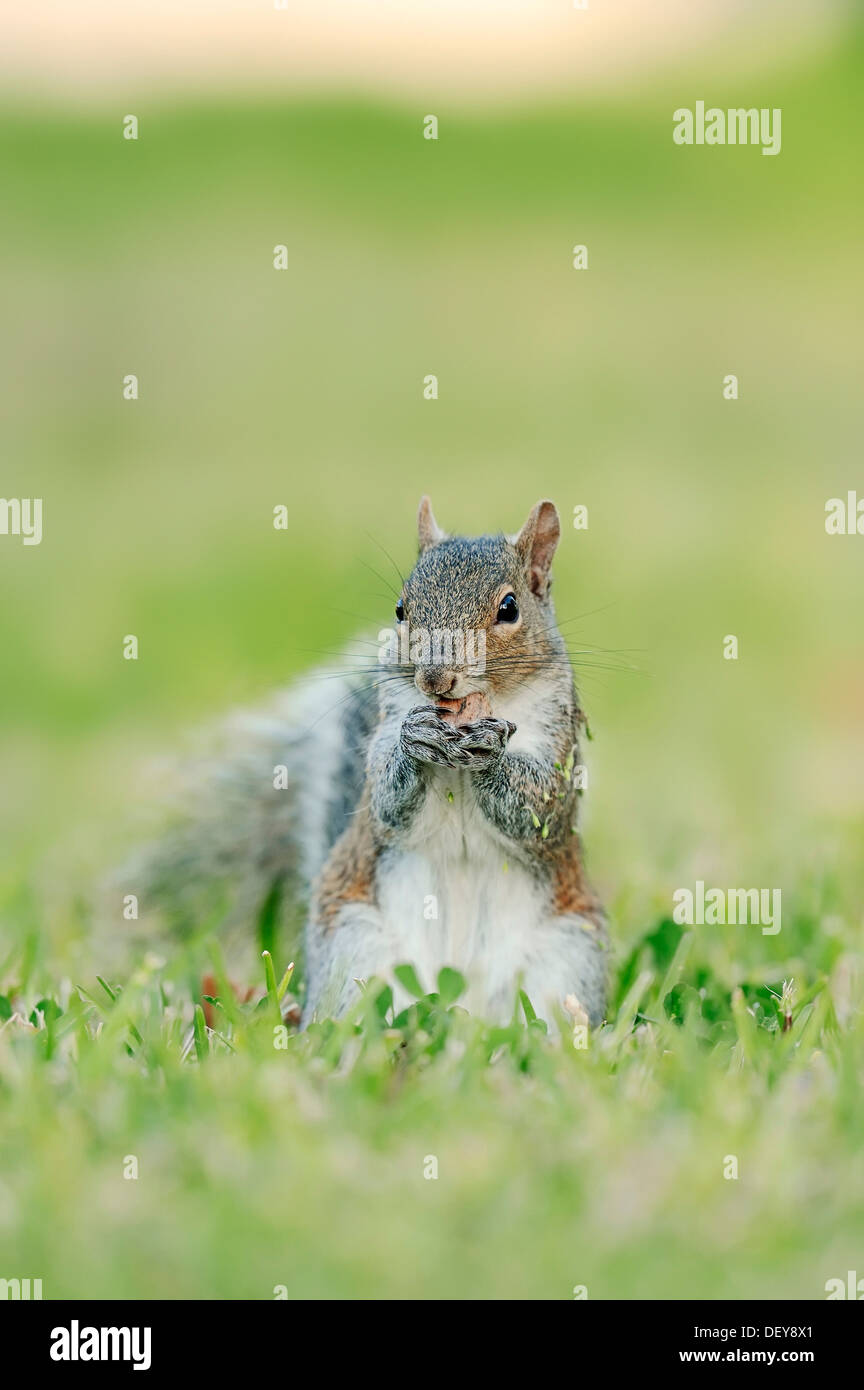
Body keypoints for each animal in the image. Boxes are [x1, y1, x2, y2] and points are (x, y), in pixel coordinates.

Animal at [135, 494, 608, 1028]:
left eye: (509, 608)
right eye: (401, 609)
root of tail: (462, 1015)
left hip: (569, 957)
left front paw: (492, 754)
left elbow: (542, 808)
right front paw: (413, 740)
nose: (435, 679)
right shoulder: (387, 723)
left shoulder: (559, 745)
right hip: (354, 942)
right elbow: (383, 798)